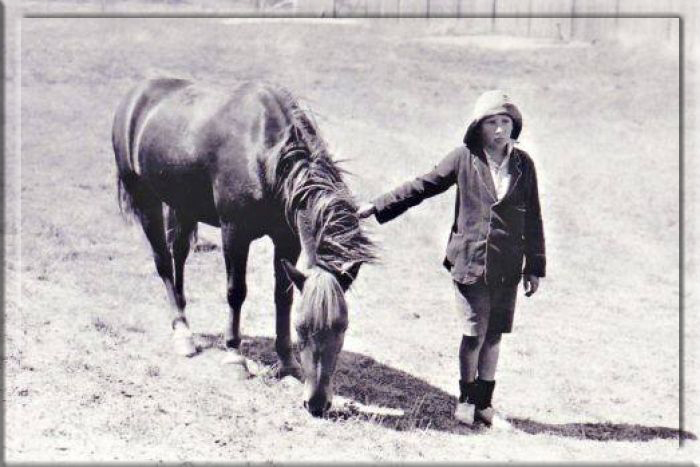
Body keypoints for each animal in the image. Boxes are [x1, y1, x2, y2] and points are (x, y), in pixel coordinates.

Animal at [113, 79, 378, 416]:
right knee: (162, 262)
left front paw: (287, 364)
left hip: (183, 205)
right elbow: (235, 292)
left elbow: (283, 296)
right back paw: (181, 332)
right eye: (302, 329)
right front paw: (234, 356)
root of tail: (136, 94)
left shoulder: (286, 237)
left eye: (342, 328)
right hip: (146, 199)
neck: (268, 154)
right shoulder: (234, 232)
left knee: (179, 256)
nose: (317, 403)